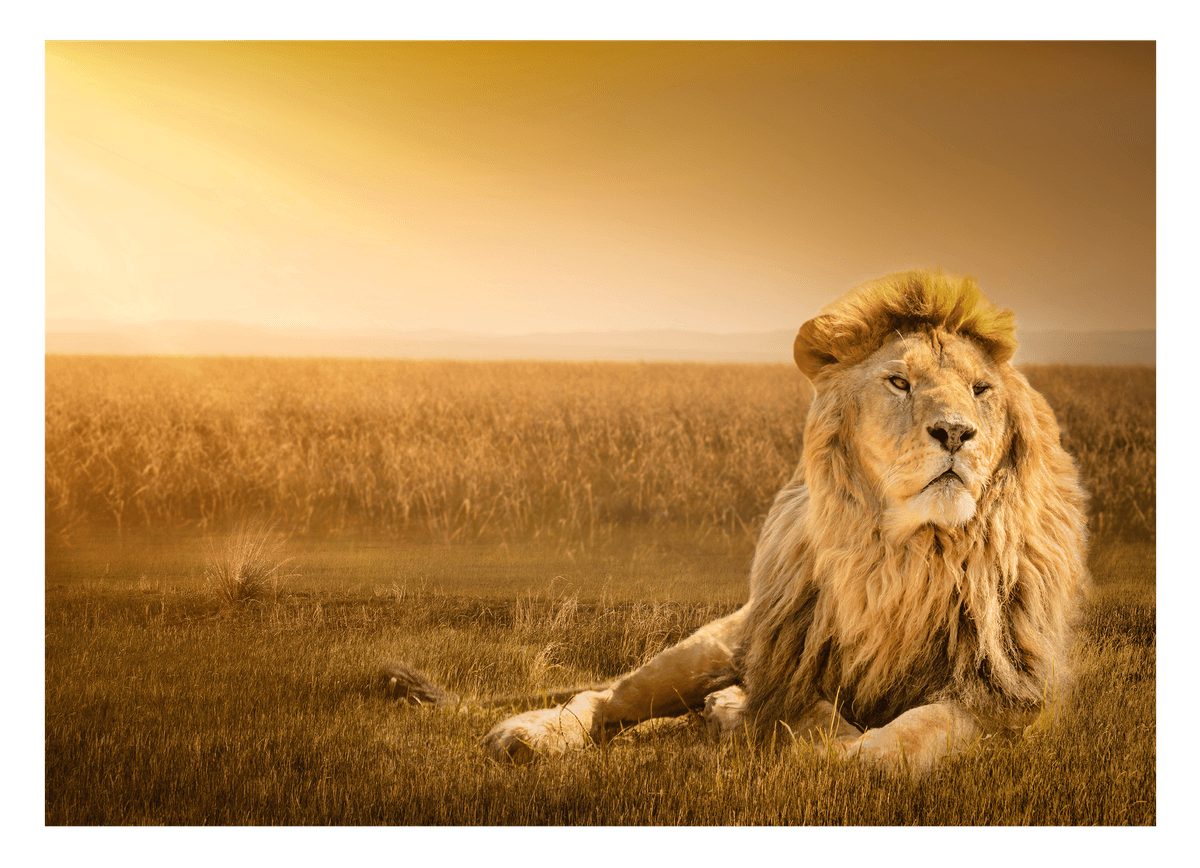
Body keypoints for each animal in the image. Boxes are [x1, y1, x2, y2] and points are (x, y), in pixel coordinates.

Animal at [384, 269, 1090, 774]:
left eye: (980, 390)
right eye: (898, 382)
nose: (956, 433)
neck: (907, 555)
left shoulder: (1009, 694)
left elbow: (915, 734)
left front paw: (855, 751)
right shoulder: (788, 666)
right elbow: (802, 713)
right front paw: (766, 725)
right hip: (706, 649)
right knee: (604, 698)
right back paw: (534, 734)